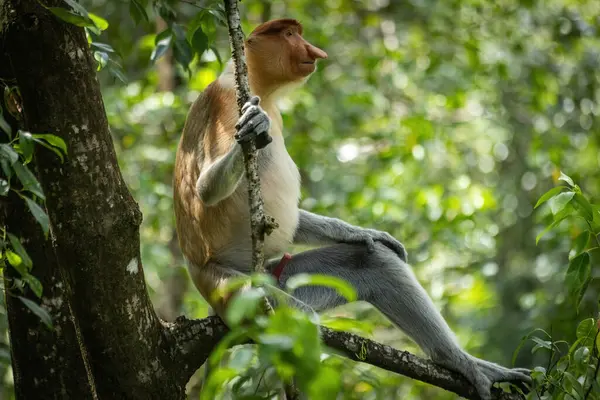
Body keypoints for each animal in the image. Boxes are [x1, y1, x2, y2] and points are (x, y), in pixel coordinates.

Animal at [172, 18, 528, 396]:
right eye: (289, 35)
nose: (315, 52)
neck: (261, 89)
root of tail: (195, 267)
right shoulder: (227, 100)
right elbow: (206, 190)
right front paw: (254, 127)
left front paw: (362, 233)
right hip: (233, 290)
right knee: (297, 319)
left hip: (276, 275)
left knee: (374, 264)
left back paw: (464, 363)